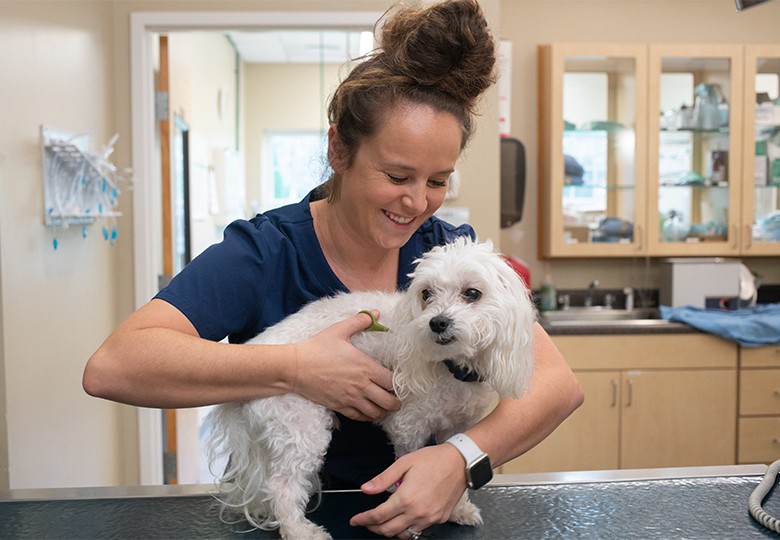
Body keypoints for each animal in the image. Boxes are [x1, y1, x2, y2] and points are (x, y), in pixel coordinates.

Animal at [206, 238, 536, 536]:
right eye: (426, 294)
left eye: (472, 293)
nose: (437, 322)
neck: (451, 368)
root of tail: (258, 348)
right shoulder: (408, 426)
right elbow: (406, 460)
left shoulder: (455, 426)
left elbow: (453, 469)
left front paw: (459, 509)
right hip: (300, 424)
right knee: (281, 486)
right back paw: (300, 531)